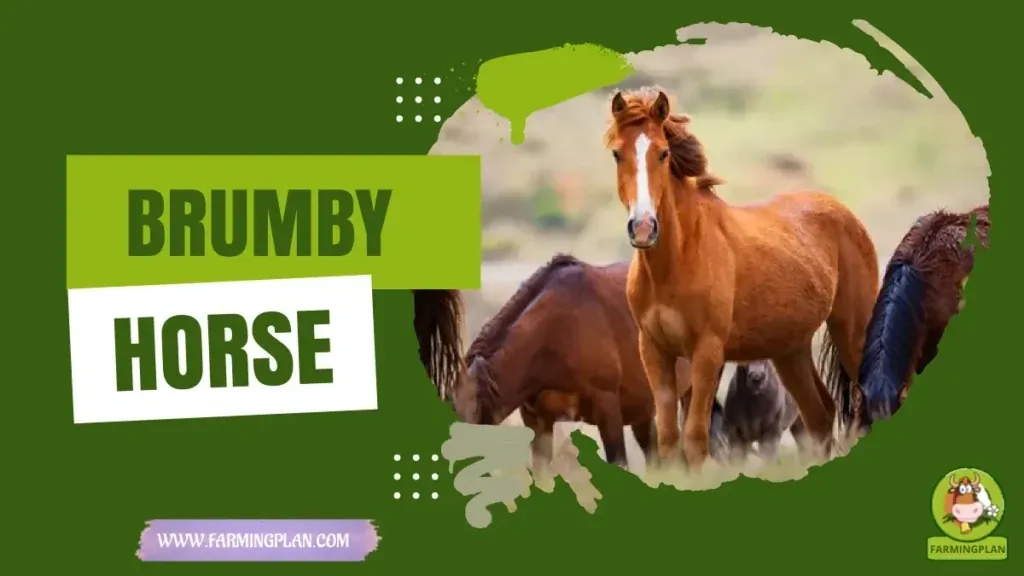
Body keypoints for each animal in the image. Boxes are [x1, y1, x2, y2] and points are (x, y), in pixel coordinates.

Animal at [605, 87, 880, 468]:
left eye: (663, 153)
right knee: (820, 417)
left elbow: (695, 439)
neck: (677, 261)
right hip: (790, 350)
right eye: (617, 153)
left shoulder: (707, 353)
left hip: (852, 331)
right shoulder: (655, 351)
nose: (644, 228)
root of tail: (842, 212)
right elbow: (670, 441)